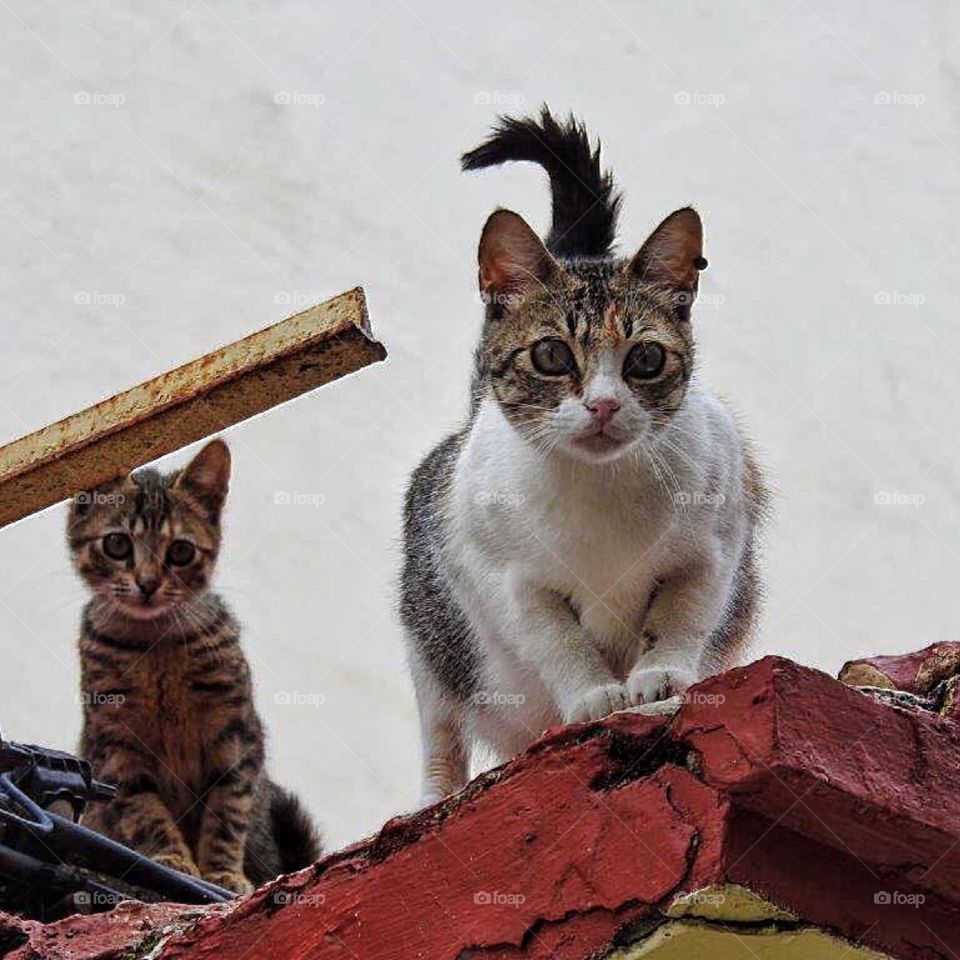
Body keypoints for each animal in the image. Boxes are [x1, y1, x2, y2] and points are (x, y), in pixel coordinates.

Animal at [72, 440, 318, 892]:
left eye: (181, 551)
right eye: (117, 545)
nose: (148, 584)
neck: (156, 645)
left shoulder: (237, 735)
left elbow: (227, 813)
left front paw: (222, 872)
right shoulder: (115, 745)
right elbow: (143, 809)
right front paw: (170, 857)